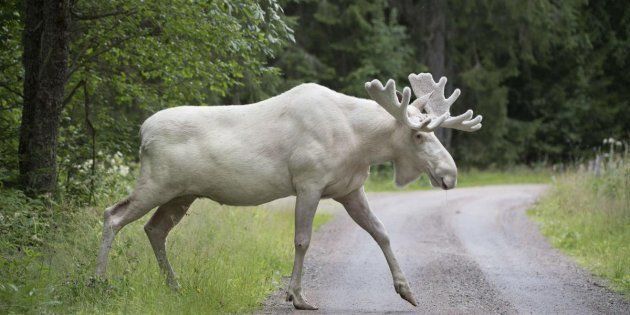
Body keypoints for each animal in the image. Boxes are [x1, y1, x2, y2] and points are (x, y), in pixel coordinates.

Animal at [96, 72, 484, 312]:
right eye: (418, 135)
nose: (449, 174)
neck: (360, 143)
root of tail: (142, 132)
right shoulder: (308, 182)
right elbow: (302, 240)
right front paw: (297, 296)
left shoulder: (349, 189)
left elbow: (382, 233)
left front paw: (407, 290)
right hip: (157, 183)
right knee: (113, 215)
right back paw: (98, 281)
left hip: (182, 194)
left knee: (154, 228)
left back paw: (174, 286)